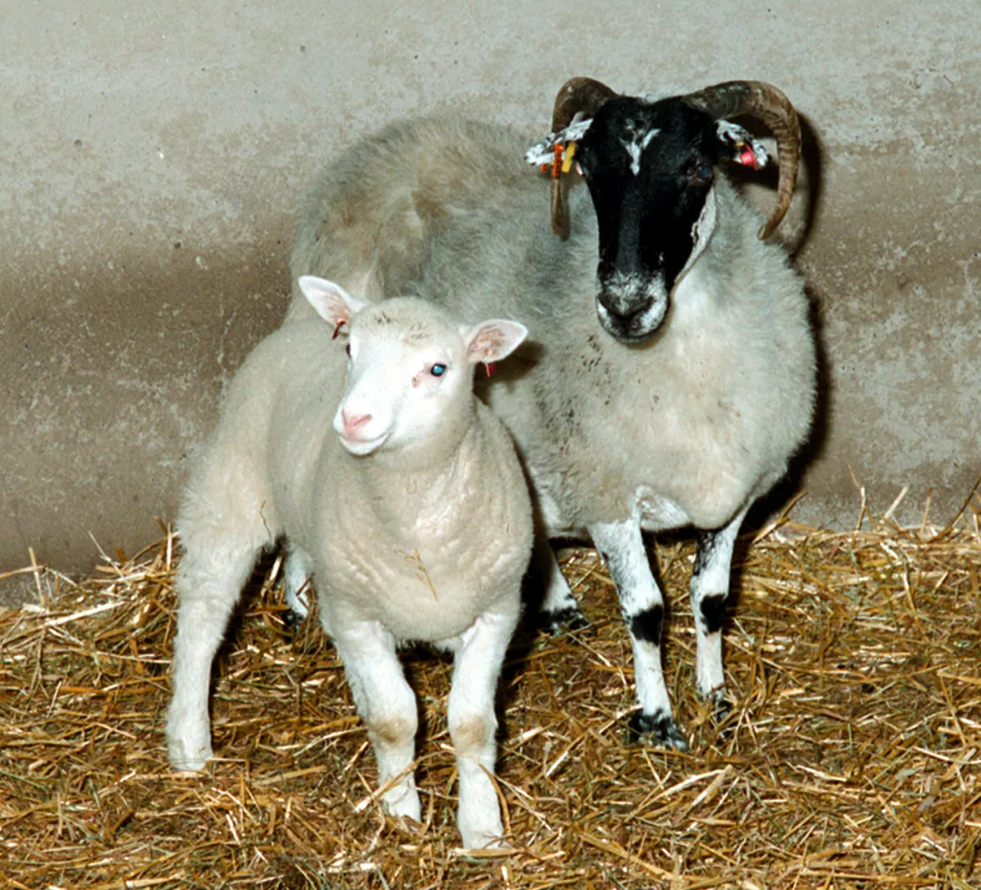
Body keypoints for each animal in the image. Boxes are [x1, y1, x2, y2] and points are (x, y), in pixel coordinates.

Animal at [166, 275, 532, 849]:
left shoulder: (496, 612)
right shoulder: (357, 616)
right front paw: (401, 814)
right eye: (352, 351)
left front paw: (482, 830)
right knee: (203, 617)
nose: (354, 418)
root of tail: (299, 328)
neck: (417, 522)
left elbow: (472, 725)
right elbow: (394, 719)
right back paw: (190, 742)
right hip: (232, 488)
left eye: (437, 369)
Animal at [285, 78, 817, 751]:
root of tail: (384, 143)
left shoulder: (736, 493)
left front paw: (716, 698)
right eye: (588, 169)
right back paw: (299, 606)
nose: (623, 304)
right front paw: (657, 719)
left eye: (698, 168)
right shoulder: (604, 491)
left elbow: (712, 599)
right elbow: (646, 612)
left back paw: (557, 602)